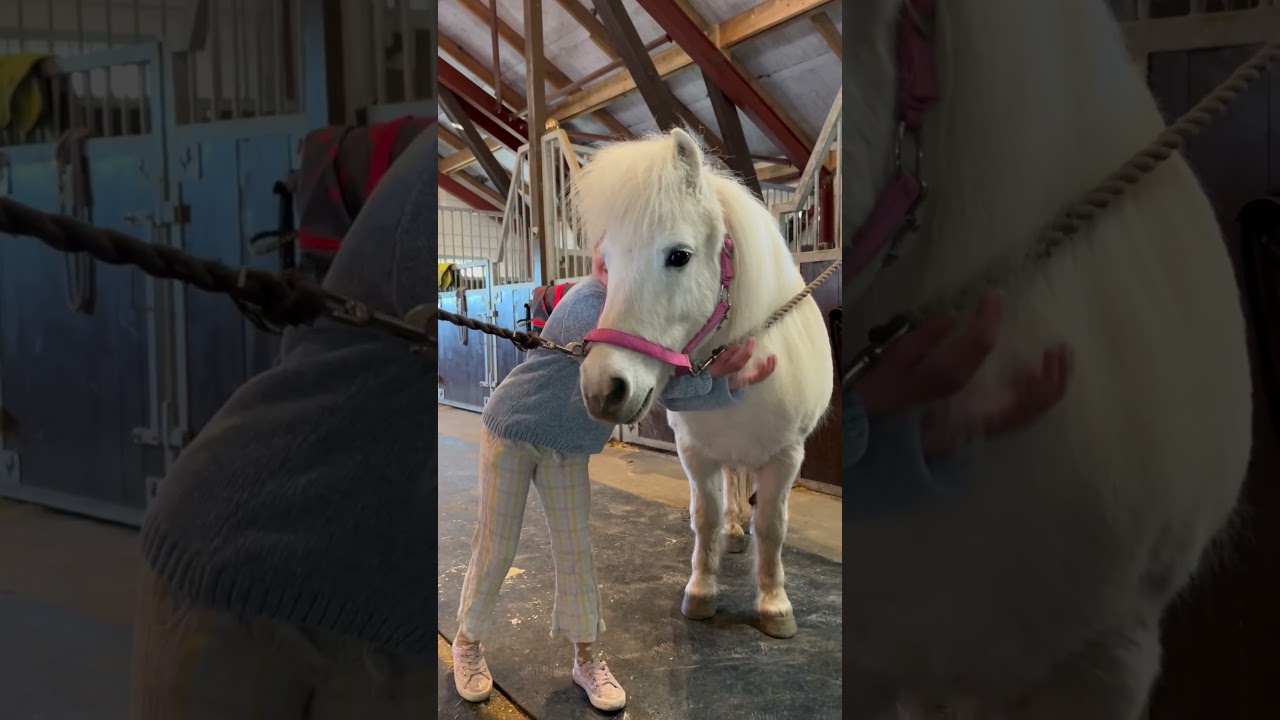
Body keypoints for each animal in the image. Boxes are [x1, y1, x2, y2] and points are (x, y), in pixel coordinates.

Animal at [573, 128, 835, 640]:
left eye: (679, 256)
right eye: (606, 263)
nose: (602, 388)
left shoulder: (785, 457)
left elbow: (772, 526)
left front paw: (774, 605)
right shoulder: (695, 453)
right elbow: (705, 518)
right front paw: (701, 591)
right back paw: (733, 533)